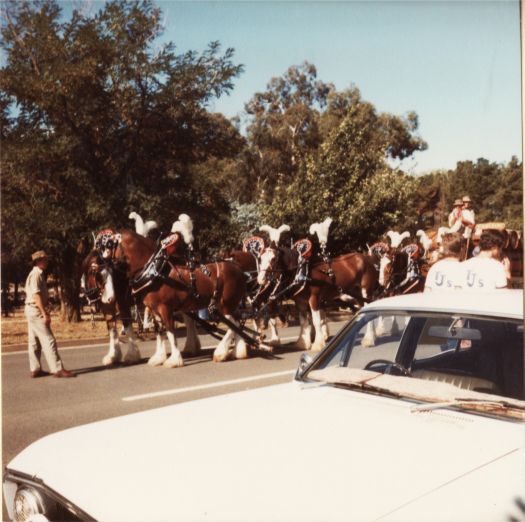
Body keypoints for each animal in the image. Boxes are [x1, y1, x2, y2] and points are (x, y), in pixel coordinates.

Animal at [103, 228, 250, 366]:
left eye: (108, 244)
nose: (101, 261)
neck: (154, 270)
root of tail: (239, 270)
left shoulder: (165, 308)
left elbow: (170, 331)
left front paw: (174, 360)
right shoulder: (154, 310)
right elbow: (159, 331)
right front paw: (159, 358)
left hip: (226, 304)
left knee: (233, 323)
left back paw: (220, 352)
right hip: (228, 305)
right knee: (237, 323)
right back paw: (238, 352)